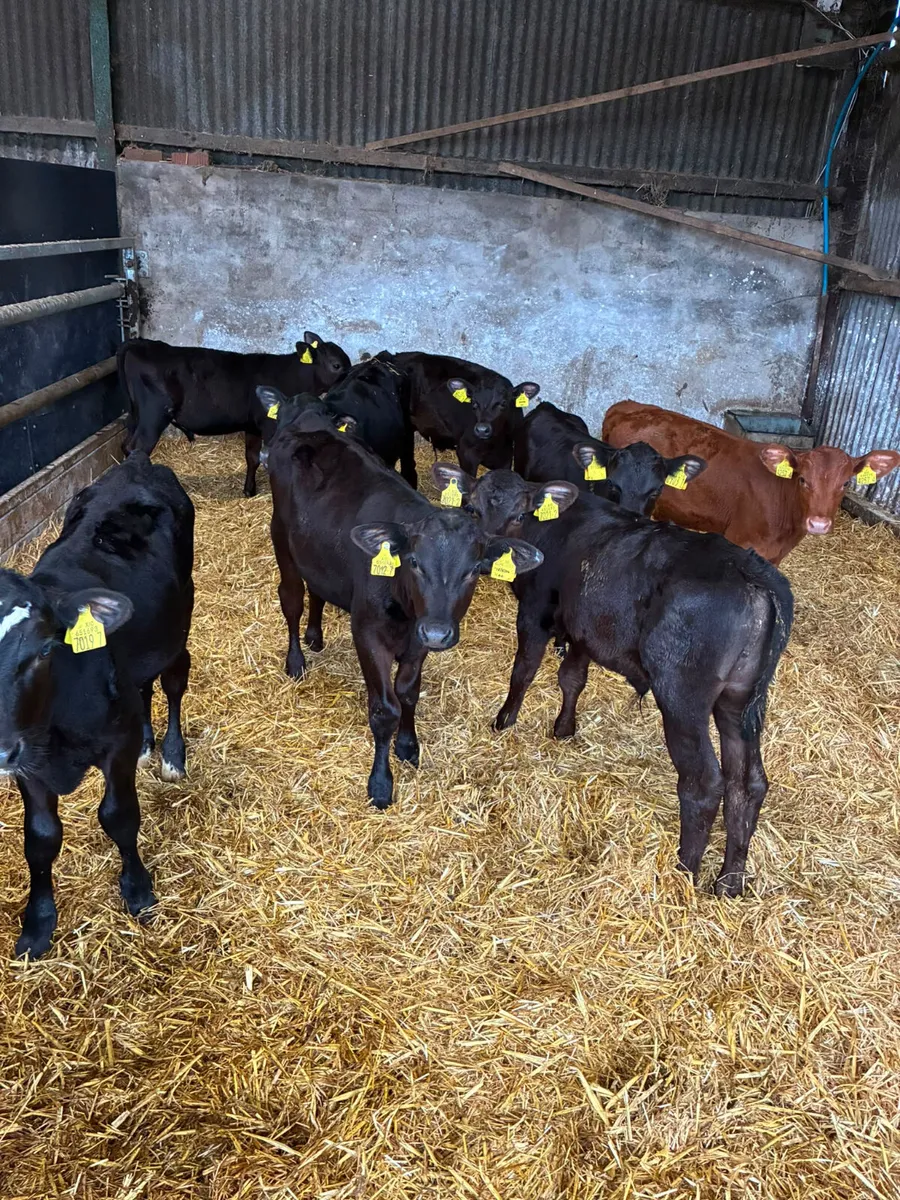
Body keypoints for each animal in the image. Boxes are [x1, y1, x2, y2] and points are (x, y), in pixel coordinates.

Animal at [0, 452, 194, 957]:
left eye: (45, 650)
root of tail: (137, 463)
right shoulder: (28, 762)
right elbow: (41, 839)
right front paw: (37, 923)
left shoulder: (115, 744)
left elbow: (119, 817)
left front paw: (138, 889)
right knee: (144, 688)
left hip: (178, 628)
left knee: (172, 685)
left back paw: (171, 755)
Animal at [119, 331, 351, 498]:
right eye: (336, 365)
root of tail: (141, 343)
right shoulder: (269, 426)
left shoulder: (252, 427)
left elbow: (252, 458)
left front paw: (249, 490)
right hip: (153, 416)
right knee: (137, 447)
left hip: (136, 417)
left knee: (125, 445)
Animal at [266, 418, 542, 809]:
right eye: (413, 563)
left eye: (474, 569)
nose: (438, 632)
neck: (407, 610)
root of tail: (308, 429)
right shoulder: (368, 634)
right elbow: (386, 708)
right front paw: (381, 783)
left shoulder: (419, 639)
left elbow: (409, 692)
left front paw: (409, 745)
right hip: (282, 540)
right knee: (291, 599)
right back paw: (296, 661)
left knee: (317, 590)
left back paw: (315, 636)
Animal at [392, 351, 539, 476]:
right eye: (474, 403)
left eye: (503, 403)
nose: (481, 430)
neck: (495, 443)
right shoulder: (466, 452)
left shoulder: (506, 456)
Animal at [441, 466, 793, 896]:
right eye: (471, 509)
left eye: (520, 514)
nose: (491, 555)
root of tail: (752, 573)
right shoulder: (583, 629)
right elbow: (571, 678)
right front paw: (563, 728)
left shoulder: (536, 611)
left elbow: (523, 670)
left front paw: (504, 721)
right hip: (739, 703)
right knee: (749, 784)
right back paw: (729, 883)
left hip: (682, 698)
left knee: (705, 782)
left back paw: (684, 874)